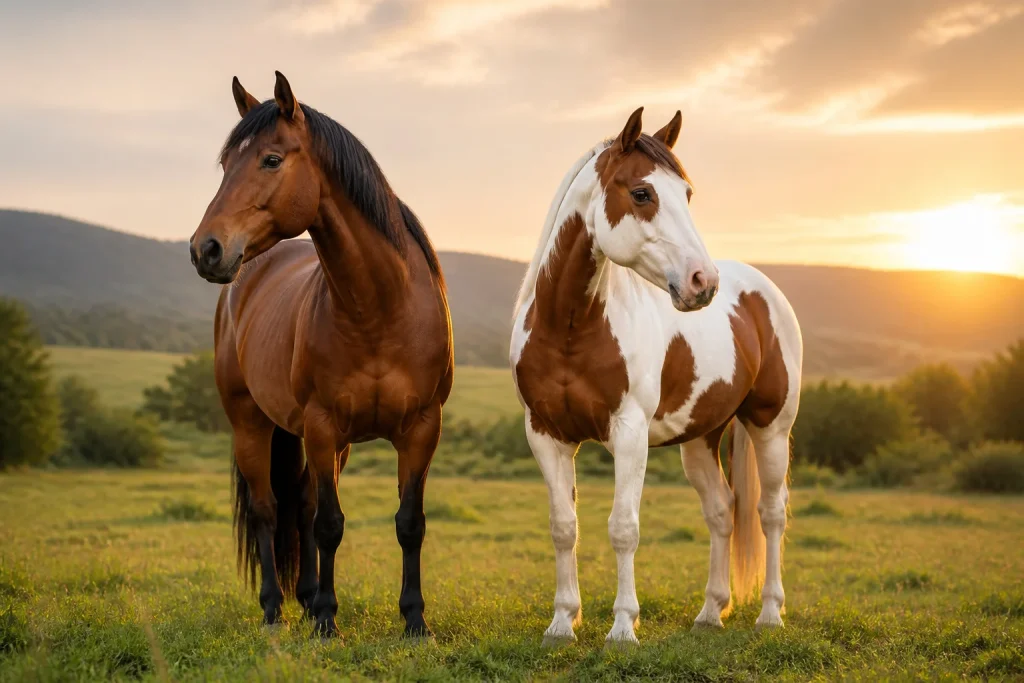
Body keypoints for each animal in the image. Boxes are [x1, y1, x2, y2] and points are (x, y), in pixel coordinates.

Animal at [188, 72, 453, 639]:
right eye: (225, 165)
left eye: (270, 159)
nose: (206, 249)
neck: (379, 309)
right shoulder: (322, 424)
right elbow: (329, 524)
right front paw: (328, 622)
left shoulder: (421, 428)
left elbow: (408, 523)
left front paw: (414, 620)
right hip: (252, 424)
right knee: (268, 511)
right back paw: (275, 609)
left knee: (303, 503)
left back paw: (308, 597)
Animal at [510, 107, 803, 645]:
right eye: (643, 193)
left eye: (686, 194)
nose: (702, 282)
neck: (569, 328)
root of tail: (761, 290)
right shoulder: (545, 434)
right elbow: (564, 526)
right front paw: (562, 622)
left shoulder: (629, 433)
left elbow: (624, 527)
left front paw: (623, 625)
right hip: (702, 437)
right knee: (722, 512)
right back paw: (711, 612)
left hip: (771, 427)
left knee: (771, 513)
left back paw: (771, 613)